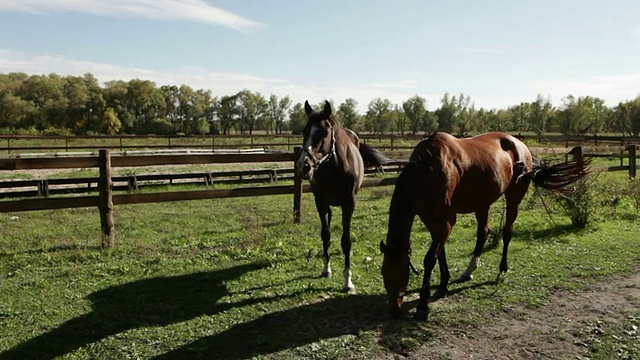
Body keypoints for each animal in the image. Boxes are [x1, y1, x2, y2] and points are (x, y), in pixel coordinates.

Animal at [298, 100, 388, 292]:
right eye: (304, 131)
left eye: (324, 132)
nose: (303, 166)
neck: (335, 169)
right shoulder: (321, 202)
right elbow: (326, 235)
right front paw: (326, 269)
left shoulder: (349, 204)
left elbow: (346, 240)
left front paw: (347, 281)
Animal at [380, 131, 592, 320]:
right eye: (383, 273)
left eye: (402, 273)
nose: (394, 310)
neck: (428, 170)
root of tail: (520, 144)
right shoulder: (431, 220)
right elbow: (440, 254)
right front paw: (443, 285)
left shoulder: (446, 222)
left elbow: (430, 259)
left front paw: (423, 306)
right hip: (483, 203)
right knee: (484, 233)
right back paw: (468, 272)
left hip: (513, 199)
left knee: (507, 232)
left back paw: (502, 269)